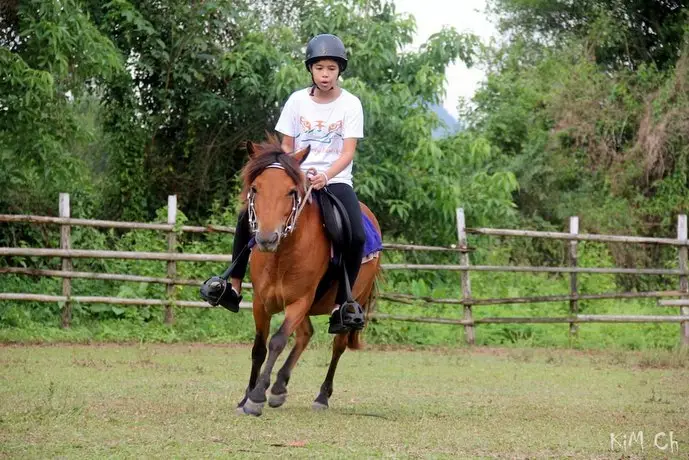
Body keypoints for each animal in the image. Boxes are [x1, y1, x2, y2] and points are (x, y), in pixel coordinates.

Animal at [236, 136, 382, 416]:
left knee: (338, 345)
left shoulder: (300, 301)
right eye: (255, 189)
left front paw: (257, 396)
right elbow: (259, 348)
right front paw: (246, 397)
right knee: (306, 334)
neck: (281, 257)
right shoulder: (261, 302)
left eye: (291, 191)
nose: (267, 238)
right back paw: (279, 387)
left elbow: (278, 341)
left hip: (349, 303)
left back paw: (321, 396)